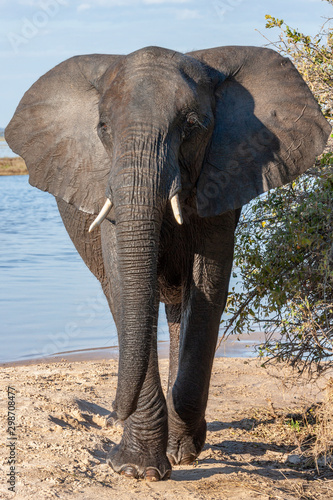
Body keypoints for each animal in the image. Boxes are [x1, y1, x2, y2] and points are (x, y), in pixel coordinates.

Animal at [5, 47, 330, 480]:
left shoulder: (223, 177)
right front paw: (135, 469)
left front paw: (180, 453)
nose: (113, 412)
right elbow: (124, 285)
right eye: (103, 128)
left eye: (191, 125)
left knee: (180, 310)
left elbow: (208, 286)